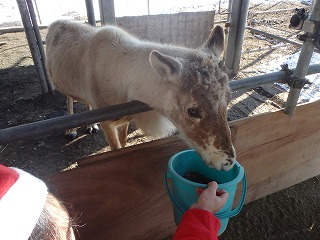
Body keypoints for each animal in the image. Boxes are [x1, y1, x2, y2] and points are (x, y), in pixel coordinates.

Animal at [45, 20, 235, 171]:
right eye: (192, 110)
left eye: (228, 98)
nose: (227, 162)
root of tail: (54, 23)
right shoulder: (107, 123)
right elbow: (116, 148)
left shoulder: (125, 120)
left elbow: (124, 142)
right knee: (69, 99)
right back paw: (71, 130)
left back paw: (91, 125)